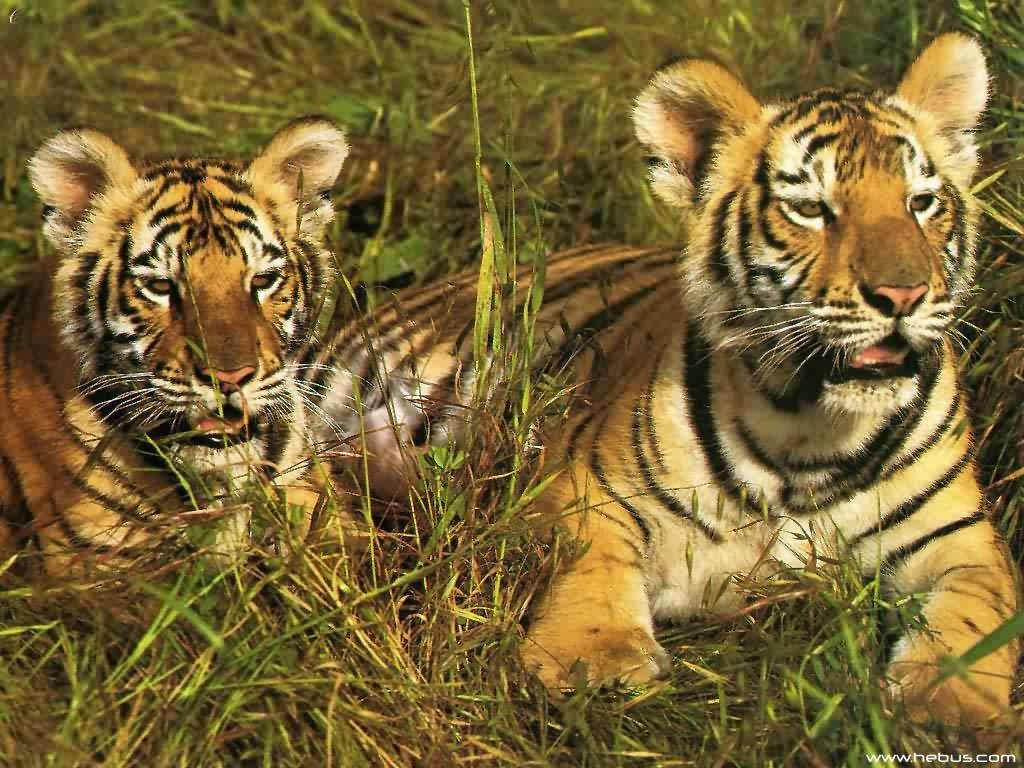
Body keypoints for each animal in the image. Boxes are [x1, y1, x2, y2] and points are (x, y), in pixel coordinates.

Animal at [306, 33, 1019, 730]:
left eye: (921, 203)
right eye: (811, 209)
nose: (904, 295)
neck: (809, 432)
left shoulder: (962, 539)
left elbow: (977, 615)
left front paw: (952, 707)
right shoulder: (583, 488)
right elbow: (590, 565)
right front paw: (592, 664)